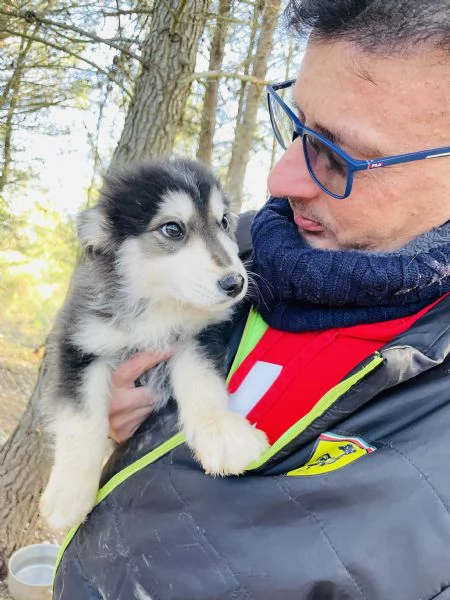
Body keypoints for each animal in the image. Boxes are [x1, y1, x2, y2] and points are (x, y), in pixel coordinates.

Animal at [39, 158, 268, 528]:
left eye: (223, 222)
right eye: (172, 229)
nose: (235, 283)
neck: (158, 305)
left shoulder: (198, 337)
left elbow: (203, 383)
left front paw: (220, 429)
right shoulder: (78, 344)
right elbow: (82, 422)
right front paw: (68, 495)